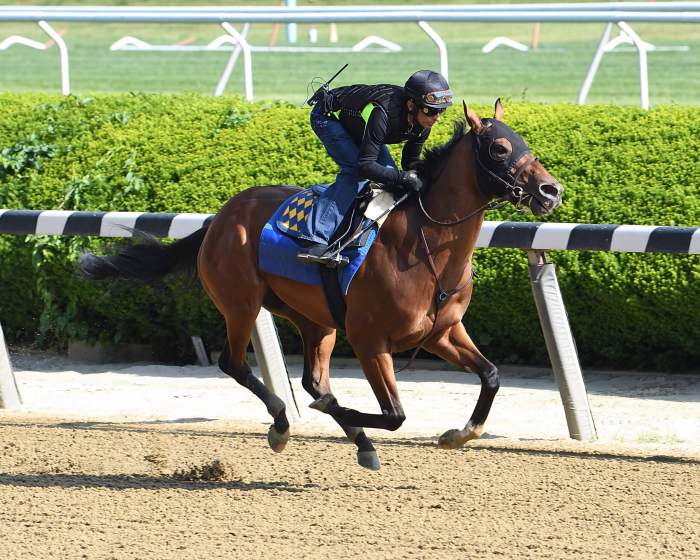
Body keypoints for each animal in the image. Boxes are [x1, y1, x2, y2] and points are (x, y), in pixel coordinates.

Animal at [80, 100, 564, 468]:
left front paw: (457, 434)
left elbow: (491, 376)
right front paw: (345, 416)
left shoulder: (442, 332)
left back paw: (357, 440)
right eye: (500, 147)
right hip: (242, 305)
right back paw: (282, 423)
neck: (424, 246)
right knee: (234, 364)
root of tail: (219, 218)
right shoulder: (370, 340)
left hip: (316, 318)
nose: (551, 190)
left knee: (313, 380)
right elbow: (395, 414)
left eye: (524, 141)